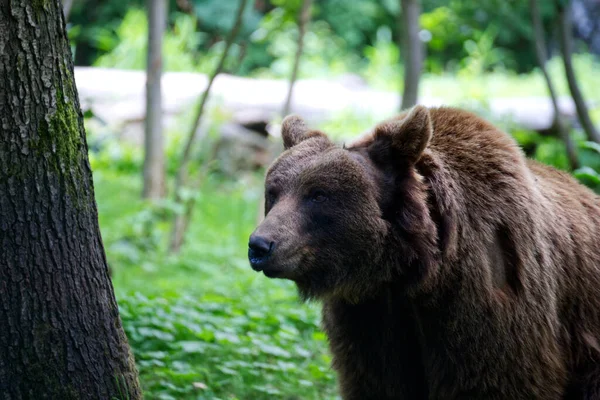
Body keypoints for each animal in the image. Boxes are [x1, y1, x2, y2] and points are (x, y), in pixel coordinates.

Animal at [246, 104, 596, 398]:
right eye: (273, 192)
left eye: (318, 195)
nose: (259, 246)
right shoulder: (369, 320)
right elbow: (378, 382)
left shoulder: (490, 309)